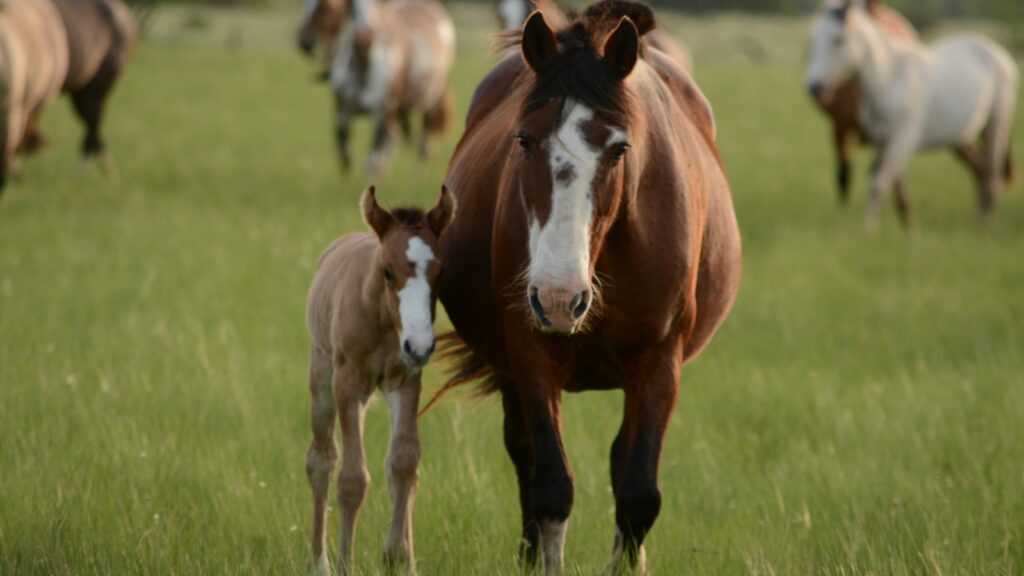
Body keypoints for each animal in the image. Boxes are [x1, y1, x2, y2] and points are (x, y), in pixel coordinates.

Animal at [305, 185, 455, 575]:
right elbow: (351, 478)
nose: (420, 344)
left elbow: (403, 463)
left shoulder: (406, 382)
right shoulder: (348, 385)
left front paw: (399, 557)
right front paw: (345, 563)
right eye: (388, 271)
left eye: (441, 272)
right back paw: (319, 560)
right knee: (321, 458)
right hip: (323, 380)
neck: (383, 320)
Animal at [326, 0, 455, 174]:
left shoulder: (382, 113)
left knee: (422, 144)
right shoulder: (342, 110)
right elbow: (345, 154)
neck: (362, 67)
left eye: (376, 4)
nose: (364, 37)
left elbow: (372, 159)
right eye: (349, 4)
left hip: (431, 104)